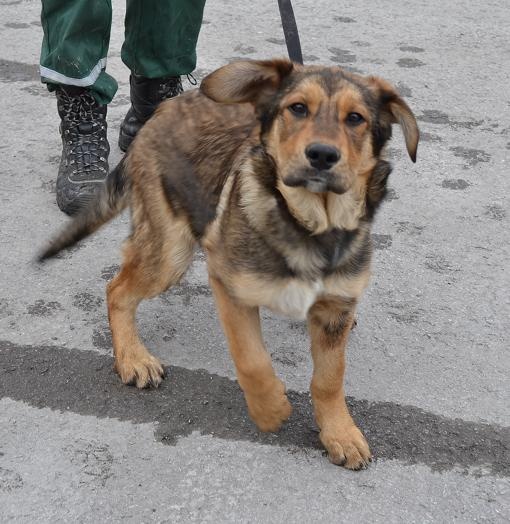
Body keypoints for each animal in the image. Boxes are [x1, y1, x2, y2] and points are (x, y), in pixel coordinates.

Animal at [39, 59, 419, 470]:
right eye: (298, 108)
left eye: (355, 118)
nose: (321, 155)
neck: (311, 224)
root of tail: (163, 109)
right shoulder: (228, 283)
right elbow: (252, 359)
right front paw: (270, 409)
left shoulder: (336, 309)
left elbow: (330, 378)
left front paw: (339, 432)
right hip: (172, 249)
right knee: (117, 288)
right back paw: (133, 358)